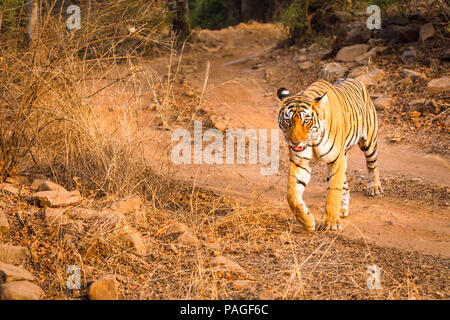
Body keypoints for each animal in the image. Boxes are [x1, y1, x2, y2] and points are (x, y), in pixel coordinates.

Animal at [278, 78, 384, 231]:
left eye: (306, 120)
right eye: (288, 121)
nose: (295, 142)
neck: (313, 141)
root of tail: (355, 80)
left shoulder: (336, 159)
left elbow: (333, 190)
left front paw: (330, 223)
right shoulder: (300, 162)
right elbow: (292, 195)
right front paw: (307, 221)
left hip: (368, 142)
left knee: (372, 164)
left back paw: (374, 188)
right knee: (345, 184)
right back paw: (342, 209)